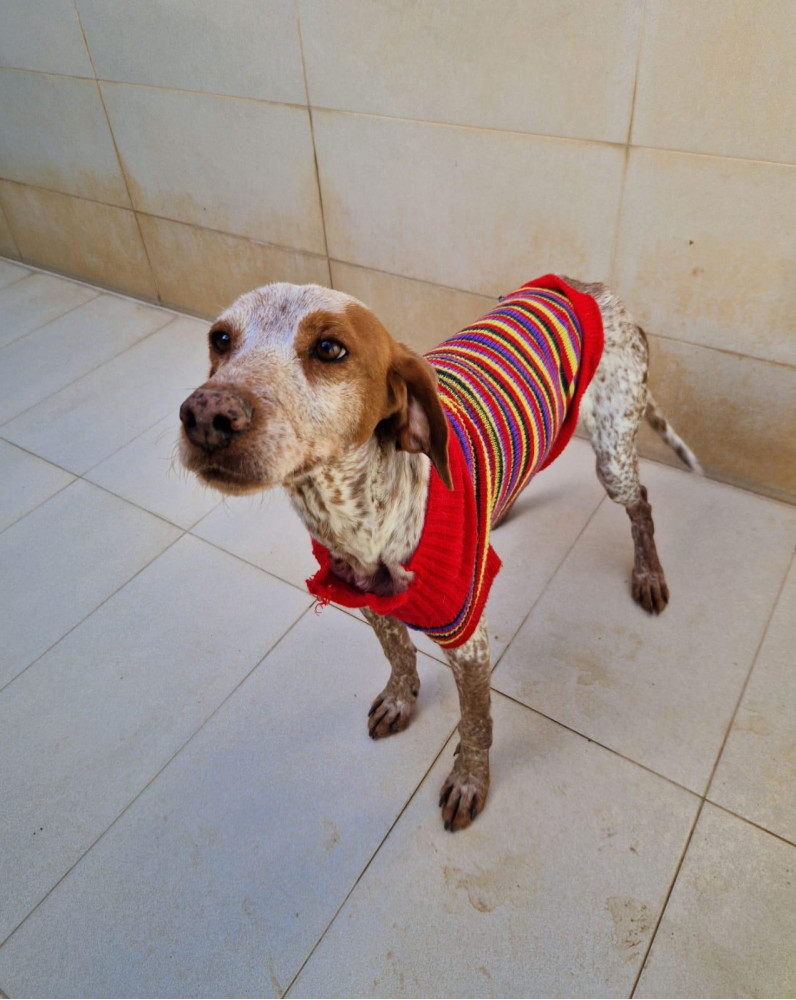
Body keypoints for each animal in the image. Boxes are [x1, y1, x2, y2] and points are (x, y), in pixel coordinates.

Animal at [179, 275, 701, 831]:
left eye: (329, 348)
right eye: (220, 339)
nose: (205, 414)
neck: (360, 519)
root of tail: (589, 286)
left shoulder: (468, 640)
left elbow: (476, 723)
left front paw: (470, 781)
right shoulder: (369, 603)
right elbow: (399, 654)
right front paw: (400, 698)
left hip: (613, 455)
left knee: (641, 503)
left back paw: (649, 572)